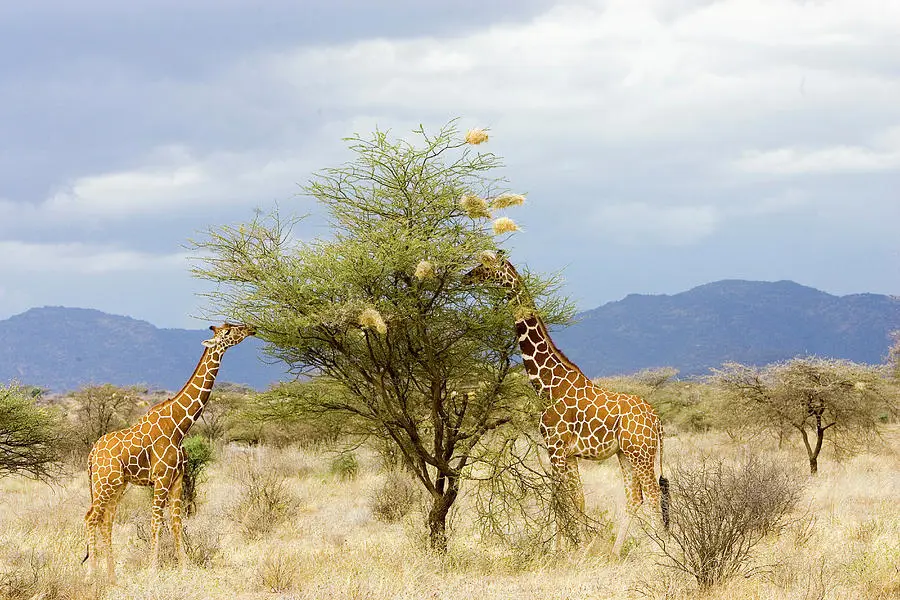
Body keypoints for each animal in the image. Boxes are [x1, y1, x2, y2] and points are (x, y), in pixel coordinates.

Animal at [83, 324, 255, 580]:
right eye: (227, 332)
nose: (251, 328)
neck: (179, 426)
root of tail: (92, 453)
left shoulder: (177, 479)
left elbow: (176, 522)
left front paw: (183, 568)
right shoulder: (162, 478)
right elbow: (156, 522)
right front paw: (153, 569)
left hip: (117, 485)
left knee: (106, 520)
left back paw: (112, 577)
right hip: (105, 483)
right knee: (91, 518)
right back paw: (91, 574)